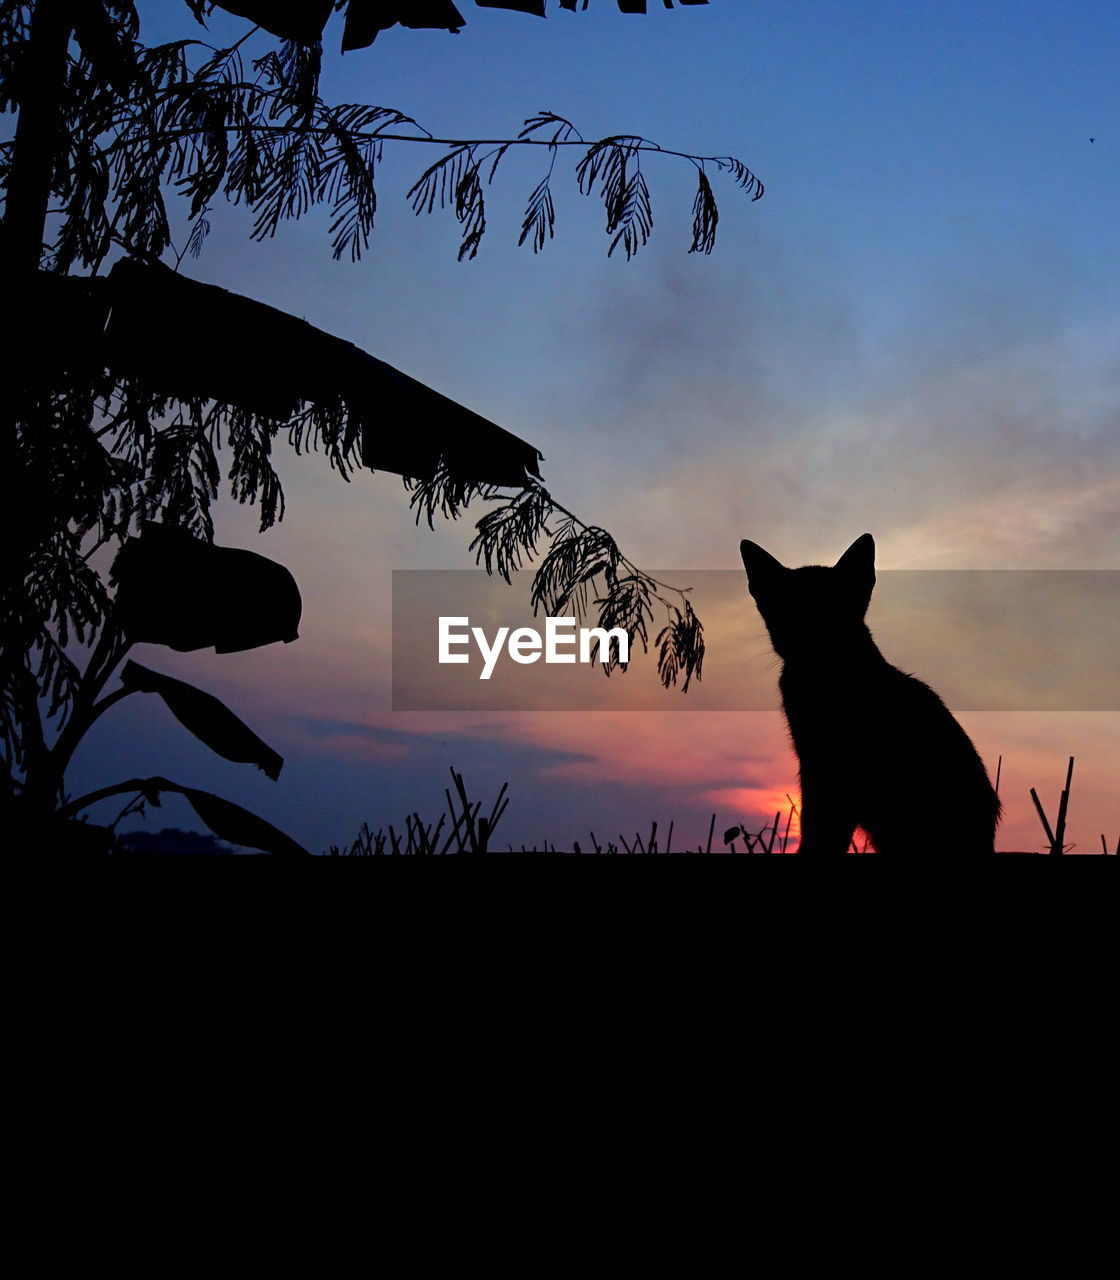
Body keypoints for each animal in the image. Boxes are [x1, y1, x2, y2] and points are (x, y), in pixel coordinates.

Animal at [742, 535, 1003, 855]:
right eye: (786, 614)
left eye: (835, 610)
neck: (821, 675)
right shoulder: (815, 762)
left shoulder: (834, 769)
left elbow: (822, 830)